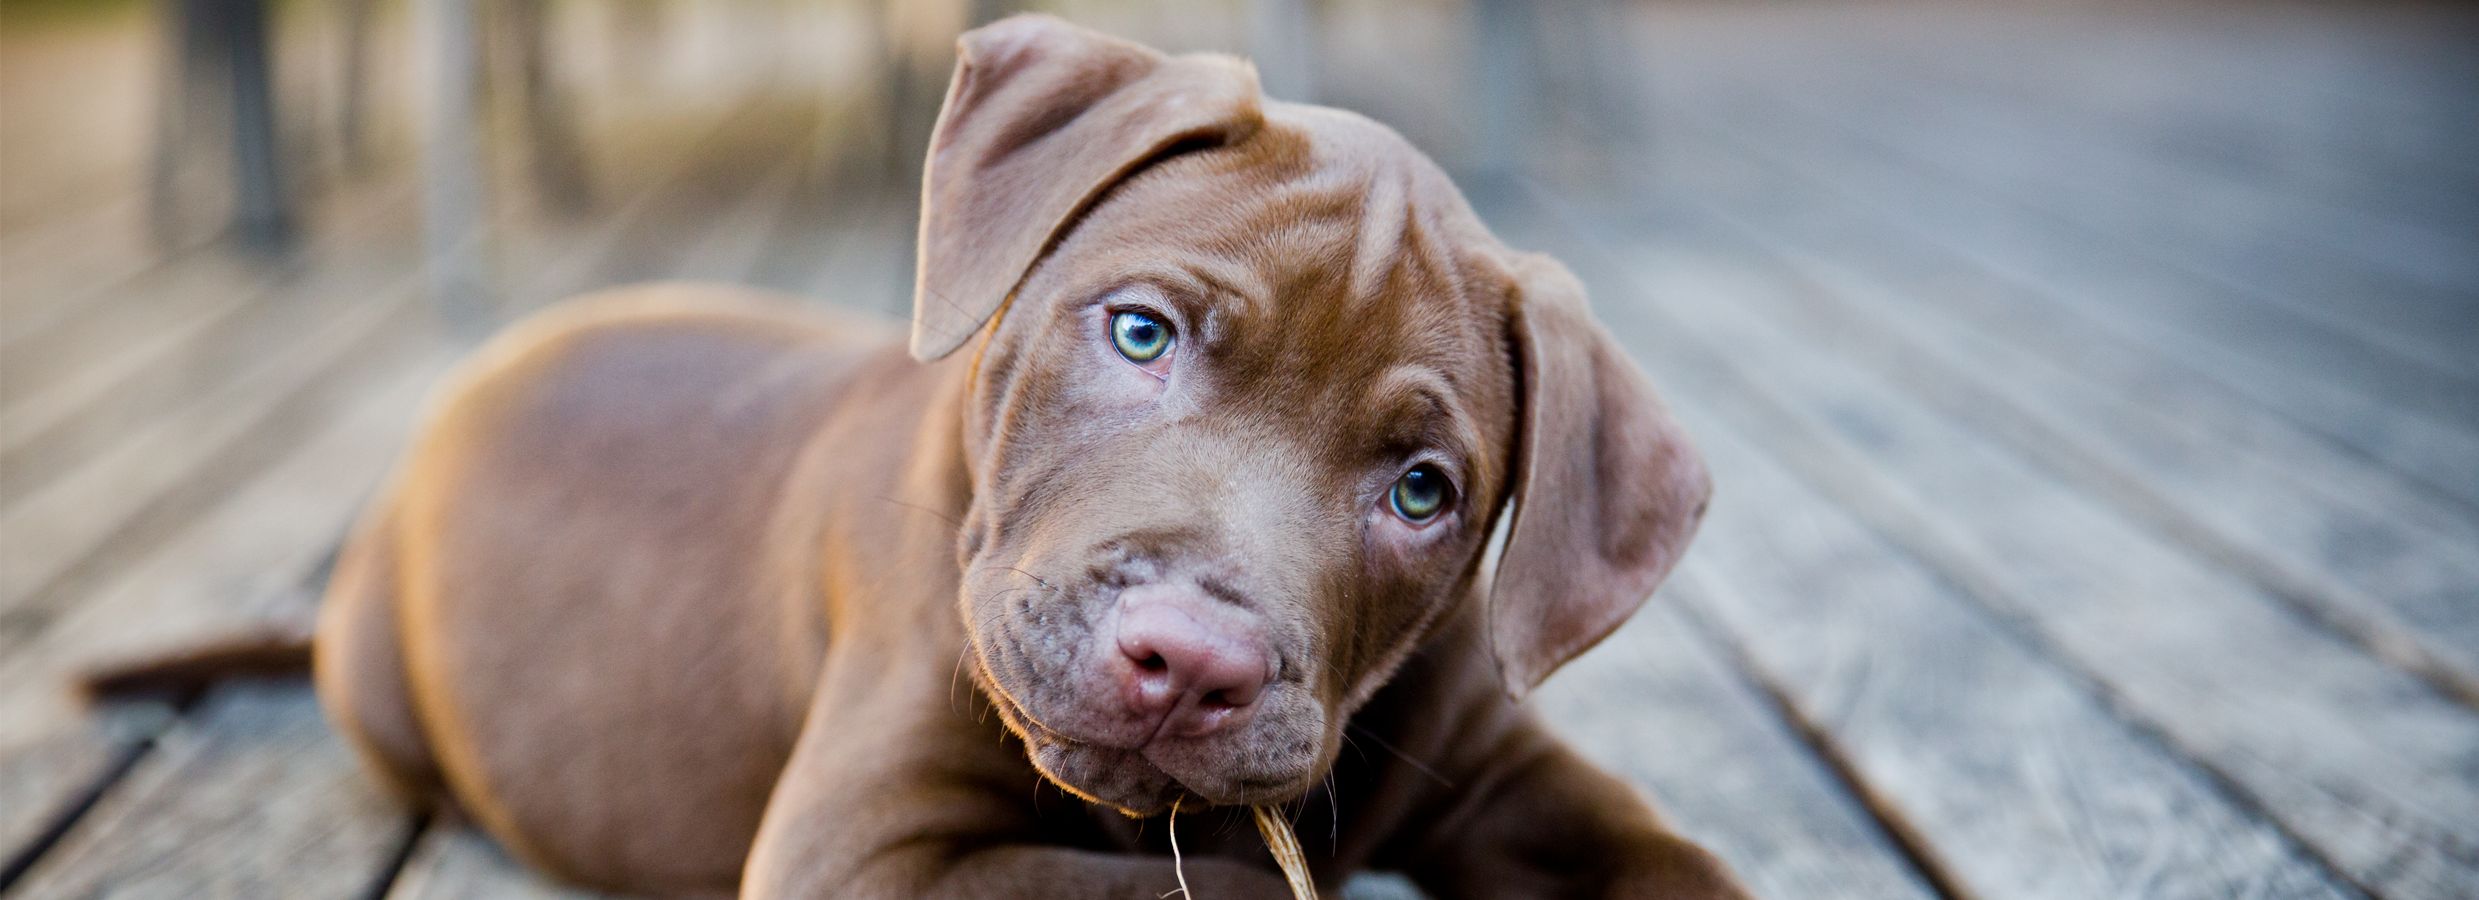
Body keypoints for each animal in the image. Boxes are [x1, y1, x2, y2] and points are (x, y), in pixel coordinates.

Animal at [314, 14, 1745, 900]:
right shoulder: (865, 852)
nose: (1192, 663)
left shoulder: (1505, 769)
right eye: (1139, 332)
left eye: (1420, 493)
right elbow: (1195, 893)